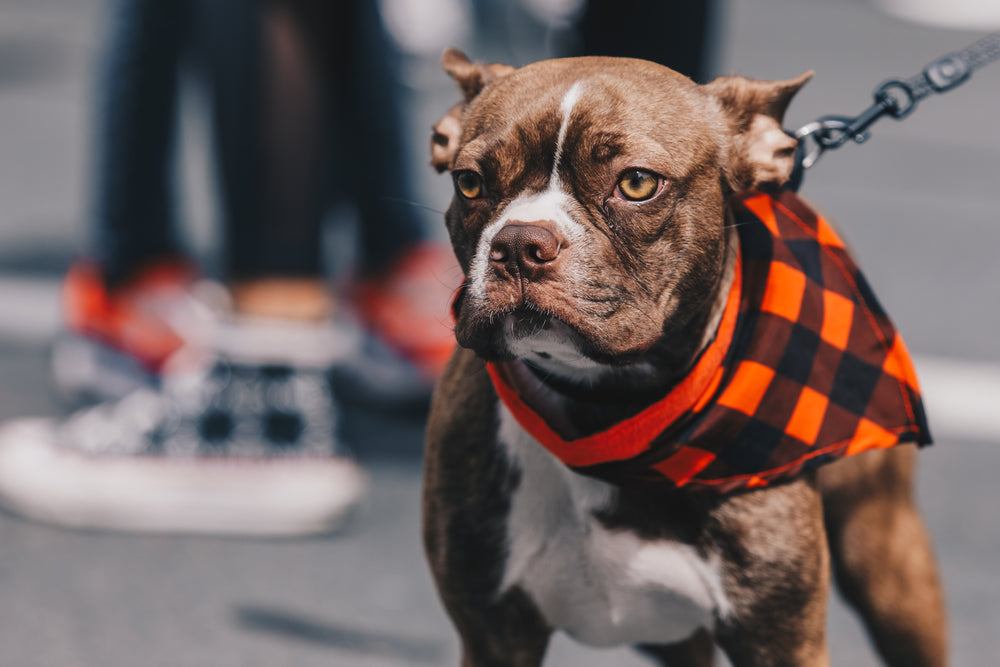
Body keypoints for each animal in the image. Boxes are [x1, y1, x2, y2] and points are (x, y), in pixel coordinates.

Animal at [420, 49, 944, 664]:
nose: (521, 242)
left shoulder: (780, 638)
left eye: (637, 182)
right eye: (470, 183)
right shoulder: (492, 632)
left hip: (886, 556)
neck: (606, 410)